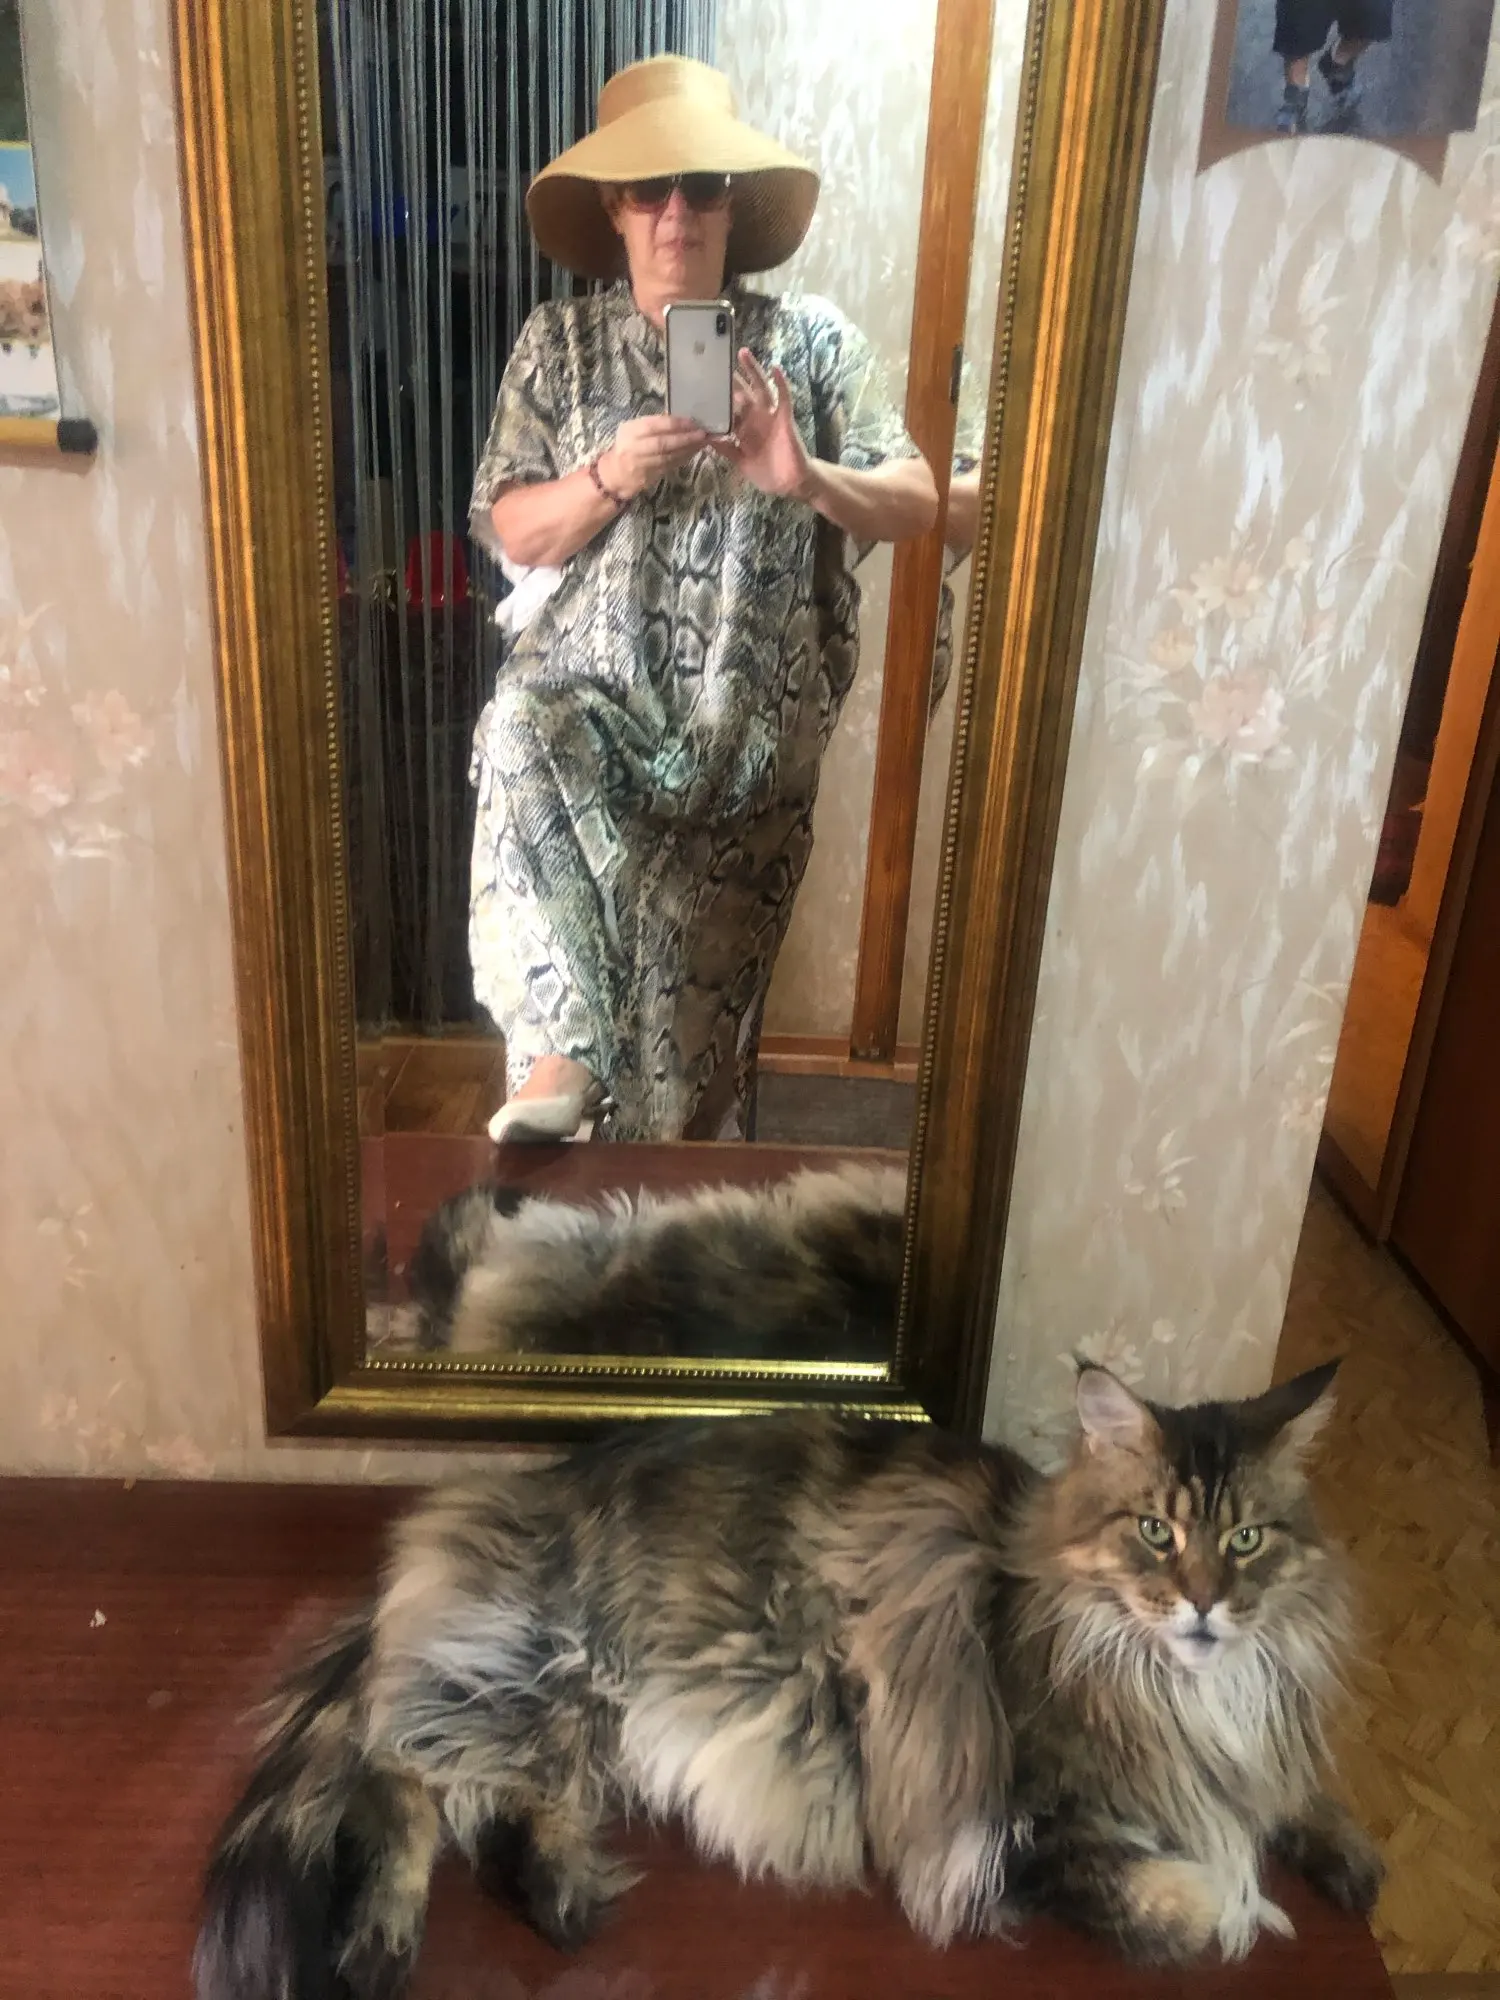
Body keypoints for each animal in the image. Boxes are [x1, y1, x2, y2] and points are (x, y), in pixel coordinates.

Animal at [193, 1362, 1382, 1999]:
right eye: (1154, 1533)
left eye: (1244, 1537)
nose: (1205, 1605)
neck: (1185, 1693)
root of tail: (508, 1497)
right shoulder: (1017, 1814)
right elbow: (1175, 1898)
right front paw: (1238, 1910)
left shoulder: (1249, 1747)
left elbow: (1292, 1798)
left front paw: (1349, 1860)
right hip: (544, 1677)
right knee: (401, 1778)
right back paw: (379, 1941)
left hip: (576, 1713)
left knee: (502, 1807)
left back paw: (565, 1893)